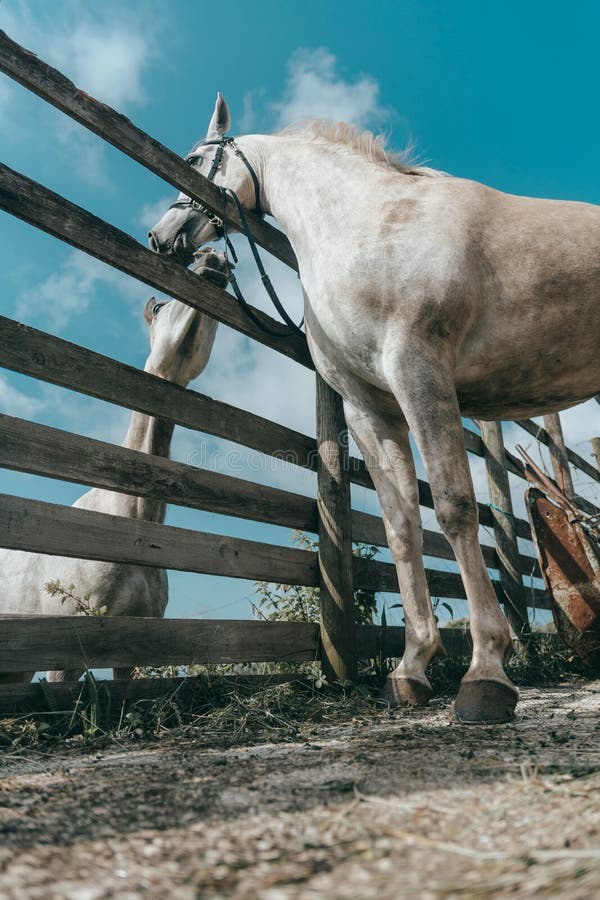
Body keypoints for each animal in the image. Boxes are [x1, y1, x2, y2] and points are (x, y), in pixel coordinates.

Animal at [146, 93, 600, 724]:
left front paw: (485, 673)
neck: (371, 223)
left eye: (192, 158)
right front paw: (411, 668)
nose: (159, 236)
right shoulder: (370, 409)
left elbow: (455, 509)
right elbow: (402, 528)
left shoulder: (419, 373)